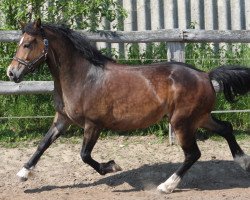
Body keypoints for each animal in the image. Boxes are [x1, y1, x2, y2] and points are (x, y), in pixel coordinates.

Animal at [6, 19, 250, 193]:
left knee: (193, 154)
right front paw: (23, 173)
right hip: (199, 117)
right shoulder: (62, 120)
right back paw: (243, 162)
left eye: (27, 44)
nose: (11, 73)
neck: (83, 77)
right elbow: (43, 144)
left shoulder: (93, 124)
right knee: (226, 128)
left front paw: (111, 166)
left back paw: (166, 186)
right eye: (19, 43)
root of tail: (206, 76)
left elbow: (84, 155)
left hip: (182, 122)